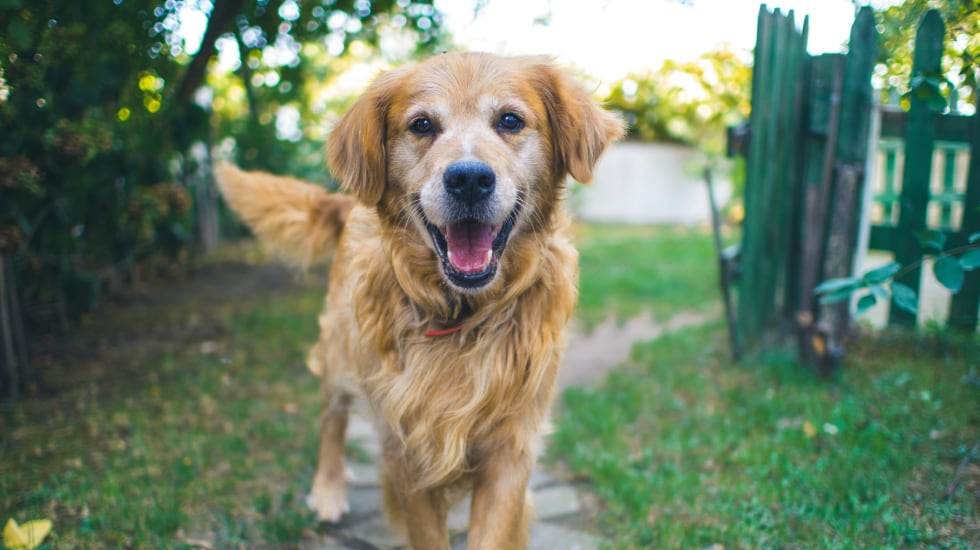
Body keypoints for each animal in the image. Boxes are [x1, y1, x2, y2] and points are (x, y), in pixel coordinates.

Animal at [219, 50, 624, 548]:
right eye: (422, 125)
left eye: (510, 120)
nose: (468, 179)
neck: (464, 314)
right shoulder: (405, 445)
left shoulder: (511, 447)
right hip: (340, 348)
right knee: (332, 414)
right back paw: (329, 488)